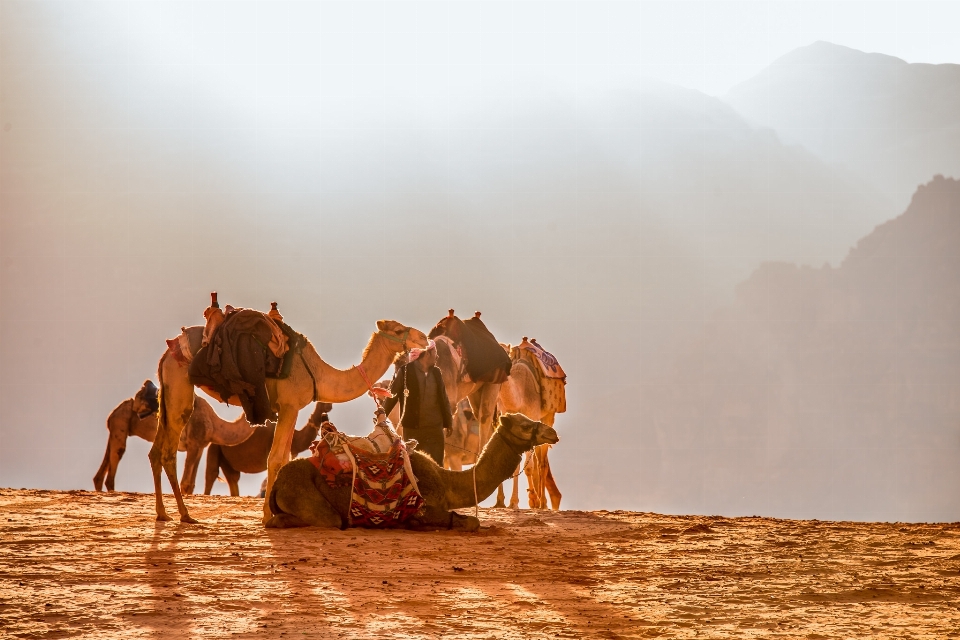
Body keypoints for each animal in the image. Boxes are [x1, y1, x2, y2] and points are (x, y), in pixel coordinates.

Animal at [94, 380, 256, 496]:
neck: (215, 425)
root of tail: (113, 413)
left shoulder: (200, 447)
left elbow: (191, 485)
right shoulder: (193, 443)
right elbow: (185, 483)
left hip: (116, 428)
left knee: (100, 473)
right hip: (120, 424)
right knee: (116, 459)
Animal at [151, 318, 428, 524]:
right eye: (398, 330)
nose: (424, 338)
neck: (317, 373)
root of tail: (166, 354)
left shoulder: (290, 410)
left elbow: (283, 458)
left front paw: (276, 511)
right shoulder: (289, 406)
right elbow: (275, 458)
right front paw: (267, 517)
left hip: (167, 393)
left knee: (155, 451)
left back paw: (163, 513)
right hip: (180, 387)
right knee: (168, 451)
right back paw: (184, 515)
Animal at [266, 412, 560, 532]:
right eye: (524, 425)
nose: (552, 433)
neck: (446, 482)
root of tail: (277, 484)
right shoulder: (426, 507)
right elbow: (469, 522)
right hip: (316, 507)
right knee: (325, 520)